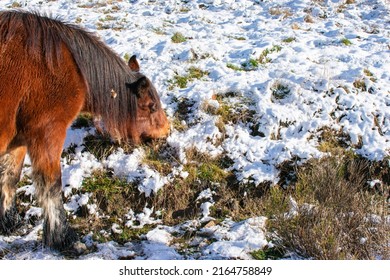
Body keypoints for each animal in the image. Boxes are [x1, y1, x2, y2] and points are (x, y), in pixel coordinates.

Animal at [0, 10, 170, 252]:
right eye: (152, 106)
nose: (167, 131)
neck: (66, 66)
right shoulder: (47, 133)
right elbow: (51, 187)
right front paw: (63, 238)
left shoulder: (19, 141)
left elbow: (9, 178)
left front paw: (9, 223)